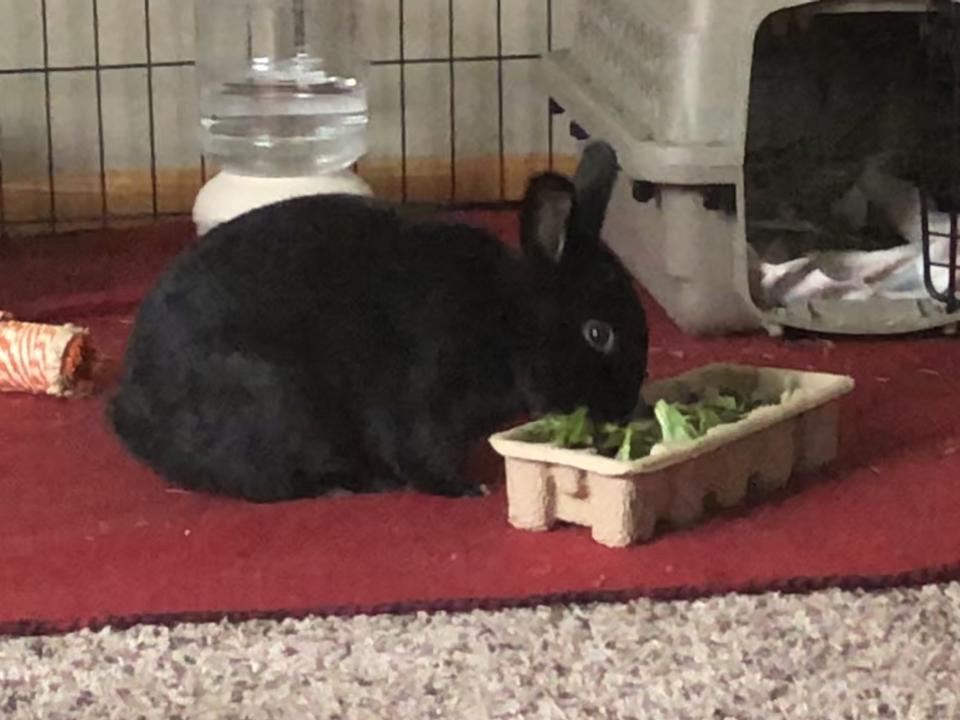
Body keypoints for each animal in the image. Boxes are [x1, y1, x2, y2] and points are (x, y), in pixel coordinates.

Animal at [109, 141, 648, 500]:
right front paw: (468, 488)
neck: (505, 318)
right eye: (598, 333)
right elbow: (418, 450)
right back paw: (367, 482)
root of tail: (128, 415)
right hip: (278, 401)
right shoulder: (426, 393)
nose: (620, 413)